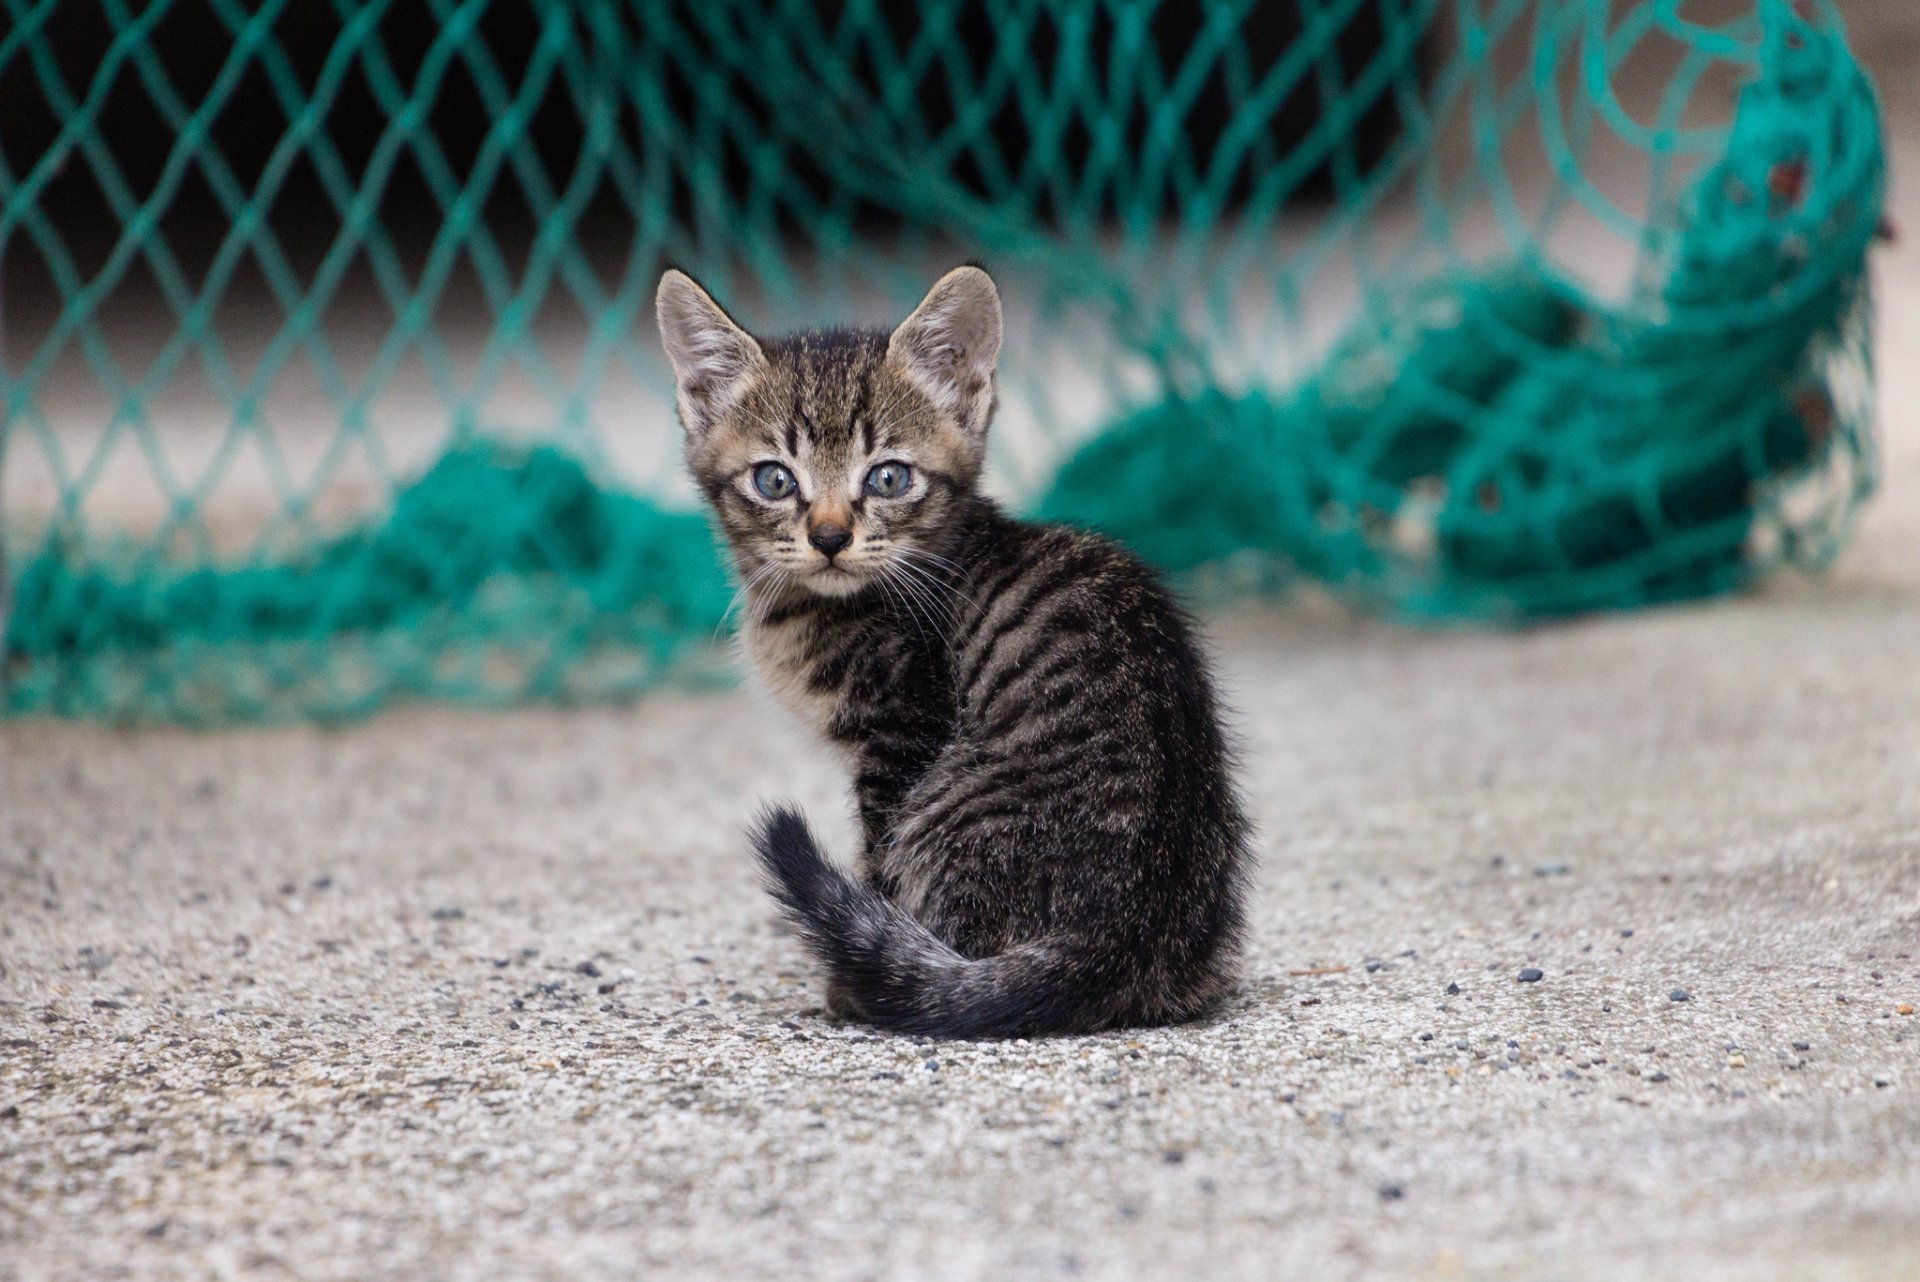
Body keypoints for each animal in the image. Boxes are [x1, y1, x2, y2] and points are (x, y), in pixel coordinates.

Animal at [660, 264, 1251, 1036]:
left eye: (888, 477)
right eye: (775, 479)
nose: (828, 538)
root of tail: (1122, 935)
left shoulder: (903, 731)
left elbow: (877, 860)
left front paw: (858, 974)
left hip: (948, 804)